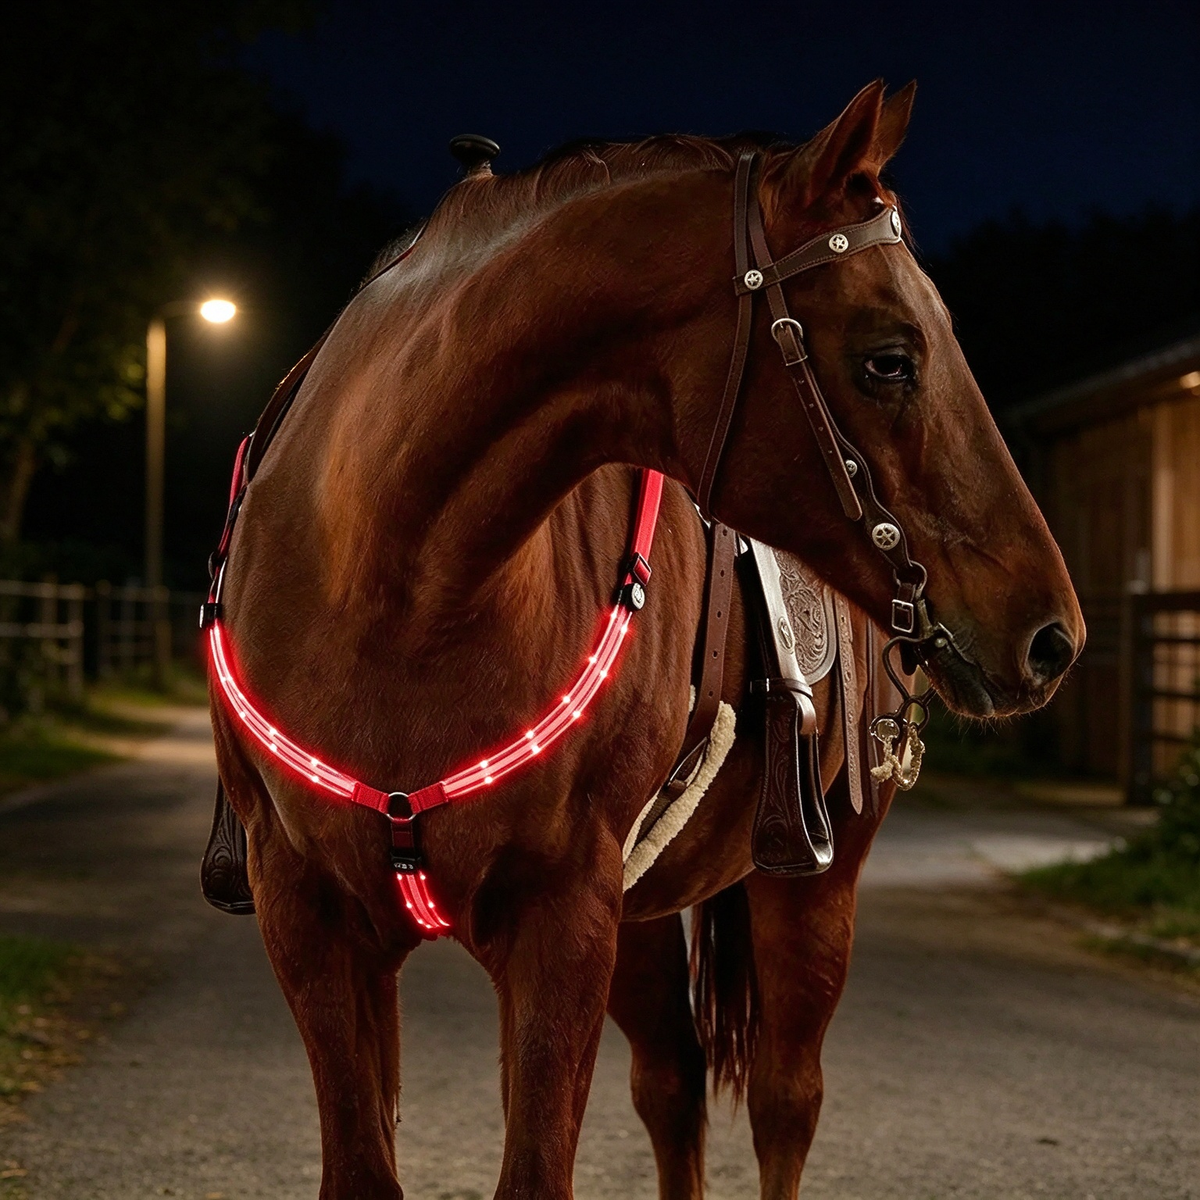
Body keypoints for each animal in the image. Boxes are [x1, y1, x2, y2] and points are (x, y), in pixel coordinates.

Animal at [207, 81, 1084, 1199]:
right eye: (890, 358)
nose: (1051, 635)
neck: (395, 592)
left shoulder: (562, 921)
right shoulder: (311, 918)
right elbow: (368, 1167)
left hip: (809, 889)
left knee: (784, 1101)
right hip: (642, 917)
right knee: (672, 1085)